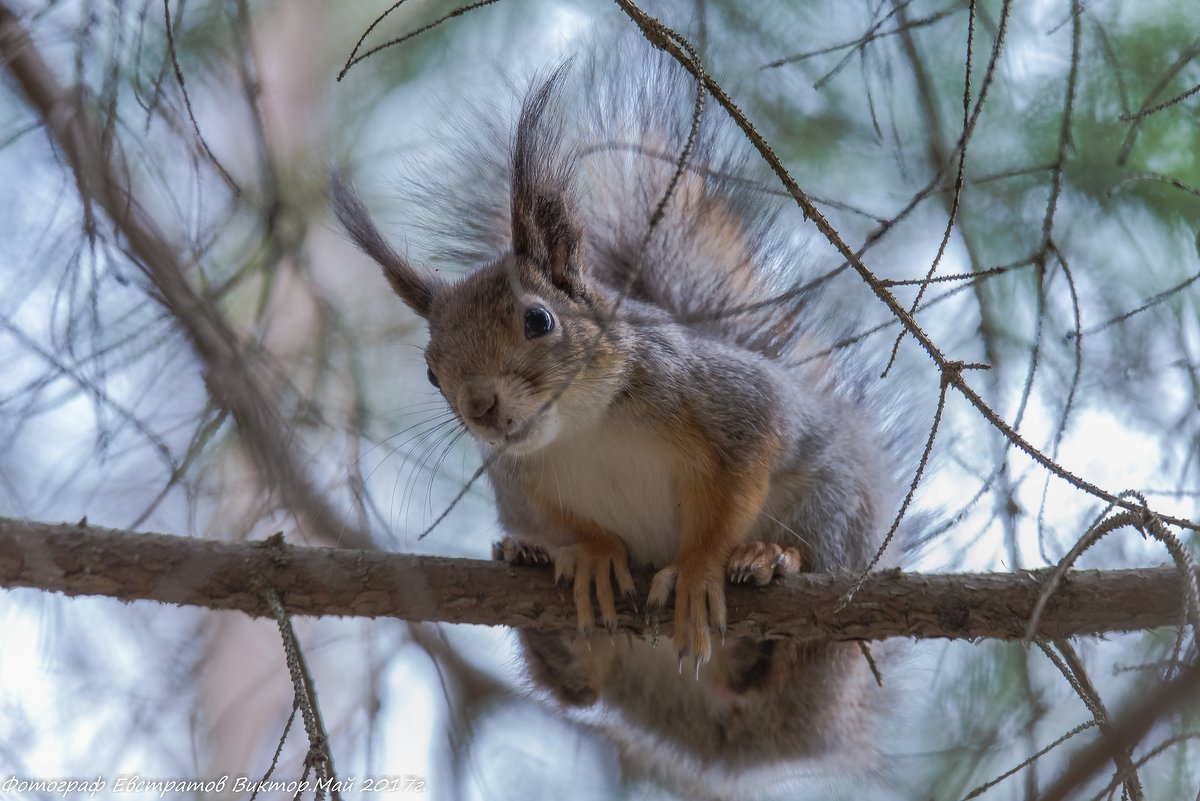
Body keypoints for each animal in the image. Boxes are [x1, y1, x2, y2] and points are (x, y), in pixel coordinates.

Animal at [333, 42, 912, 796]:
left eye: (539, 319)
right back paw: (533, 572)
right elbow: (569, 524)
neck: (584, 430)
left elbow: (740, 474)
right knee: (578, 684)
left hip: (835, 517)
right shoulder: (521, 482)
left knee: (793, 648)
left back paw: (768, 564)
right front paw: (592, 554)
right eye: (432, 371)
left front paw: (699, 566)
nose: (481, 408)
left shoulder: (729, 406)